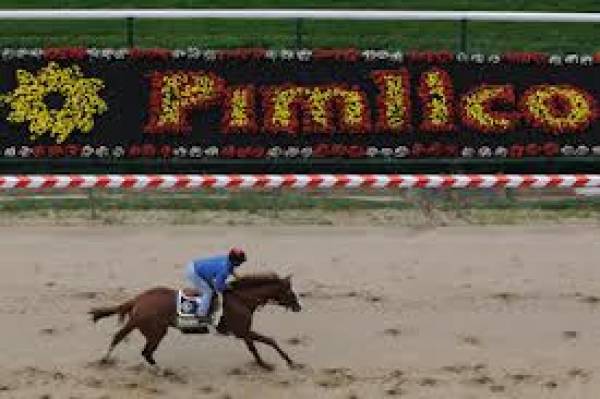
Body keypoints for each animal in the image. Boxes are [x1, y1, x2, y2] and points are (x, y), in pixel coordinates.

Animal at [89, 274, 302, 370]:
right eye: (290, 291)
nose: (299, 306)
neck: (242, 299)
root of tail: (138, 299)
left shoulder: (244, 331)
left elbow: (261, 345)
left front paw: (274, 363)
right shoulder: (242, 331)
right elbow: (265, 343)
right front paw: (282, 362)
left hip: (146, 327)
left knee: (132, 344)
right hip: (156, 330)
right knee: (141, 349)